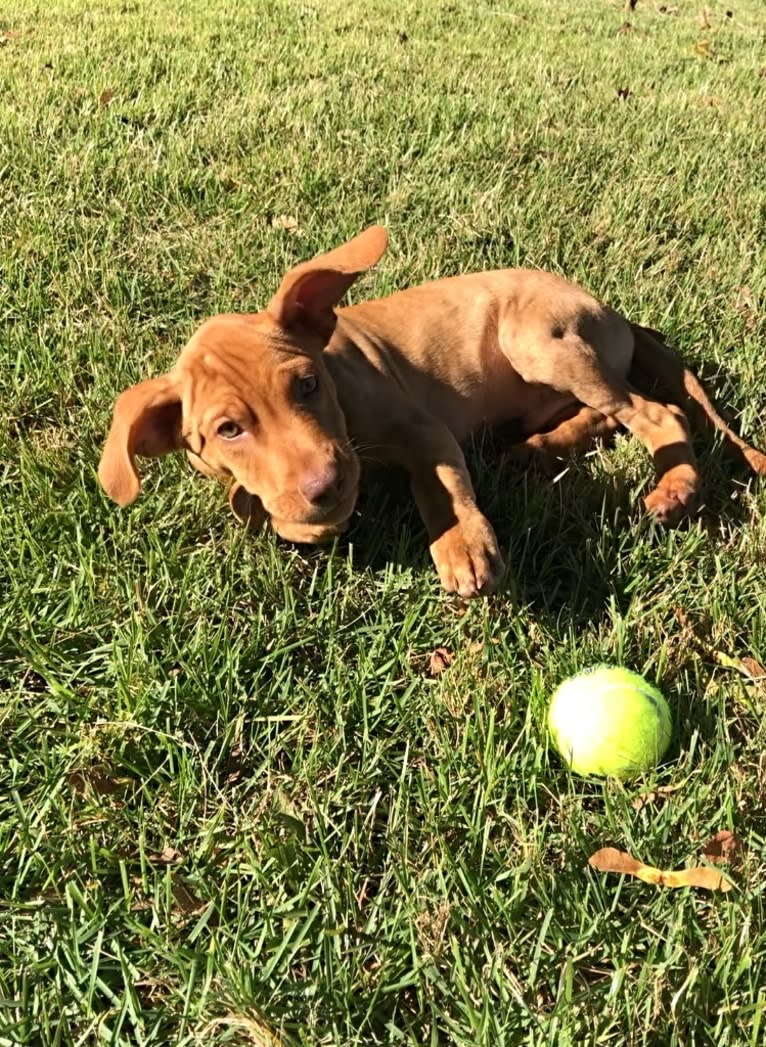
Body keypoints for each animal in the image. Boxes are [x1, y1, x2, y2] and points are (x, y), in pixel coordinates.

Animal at [100, 224, 766, 594]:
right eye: (228, 430)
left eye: (307, 385)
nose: (327, 483)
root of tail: (615, 312)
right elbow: (278, 512)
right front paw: (299, 516)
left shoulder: (424, 430)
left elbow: (441, 488)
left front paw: (464, 548)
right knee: (607, 415)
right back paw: (536, 451)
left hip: (536, 340)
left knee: (659, 415)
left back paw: (675, 489)